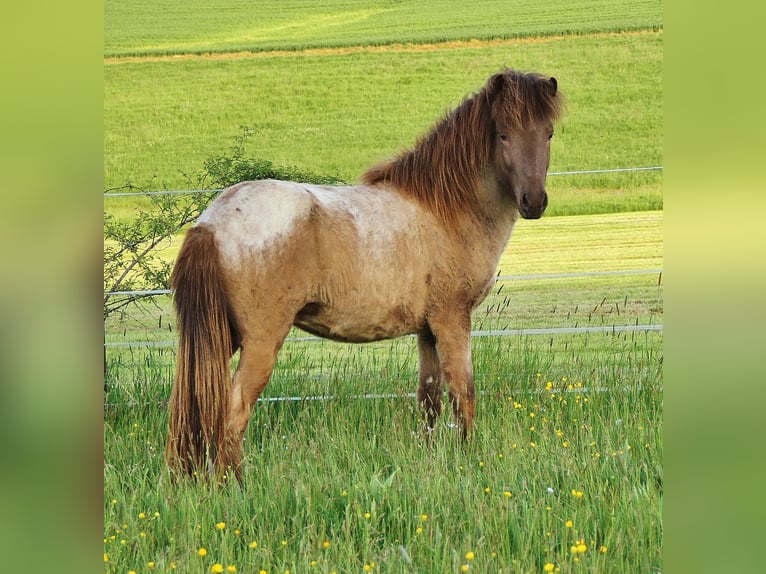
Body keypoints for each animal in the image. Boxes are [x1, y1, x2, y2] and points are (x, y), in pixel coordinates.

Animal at [168, 70, 564, 480]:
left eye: (548, 133)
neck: (443, 209)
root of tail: (211, 221)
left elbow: (429, 402)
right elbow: (463, 395)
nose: (534, 201)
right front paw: (470, 463)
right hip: (260, 342)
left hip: (216, 339)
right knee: (233, 416)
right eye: (502, 134)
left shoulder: (427, 331)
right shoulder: (452, 320)